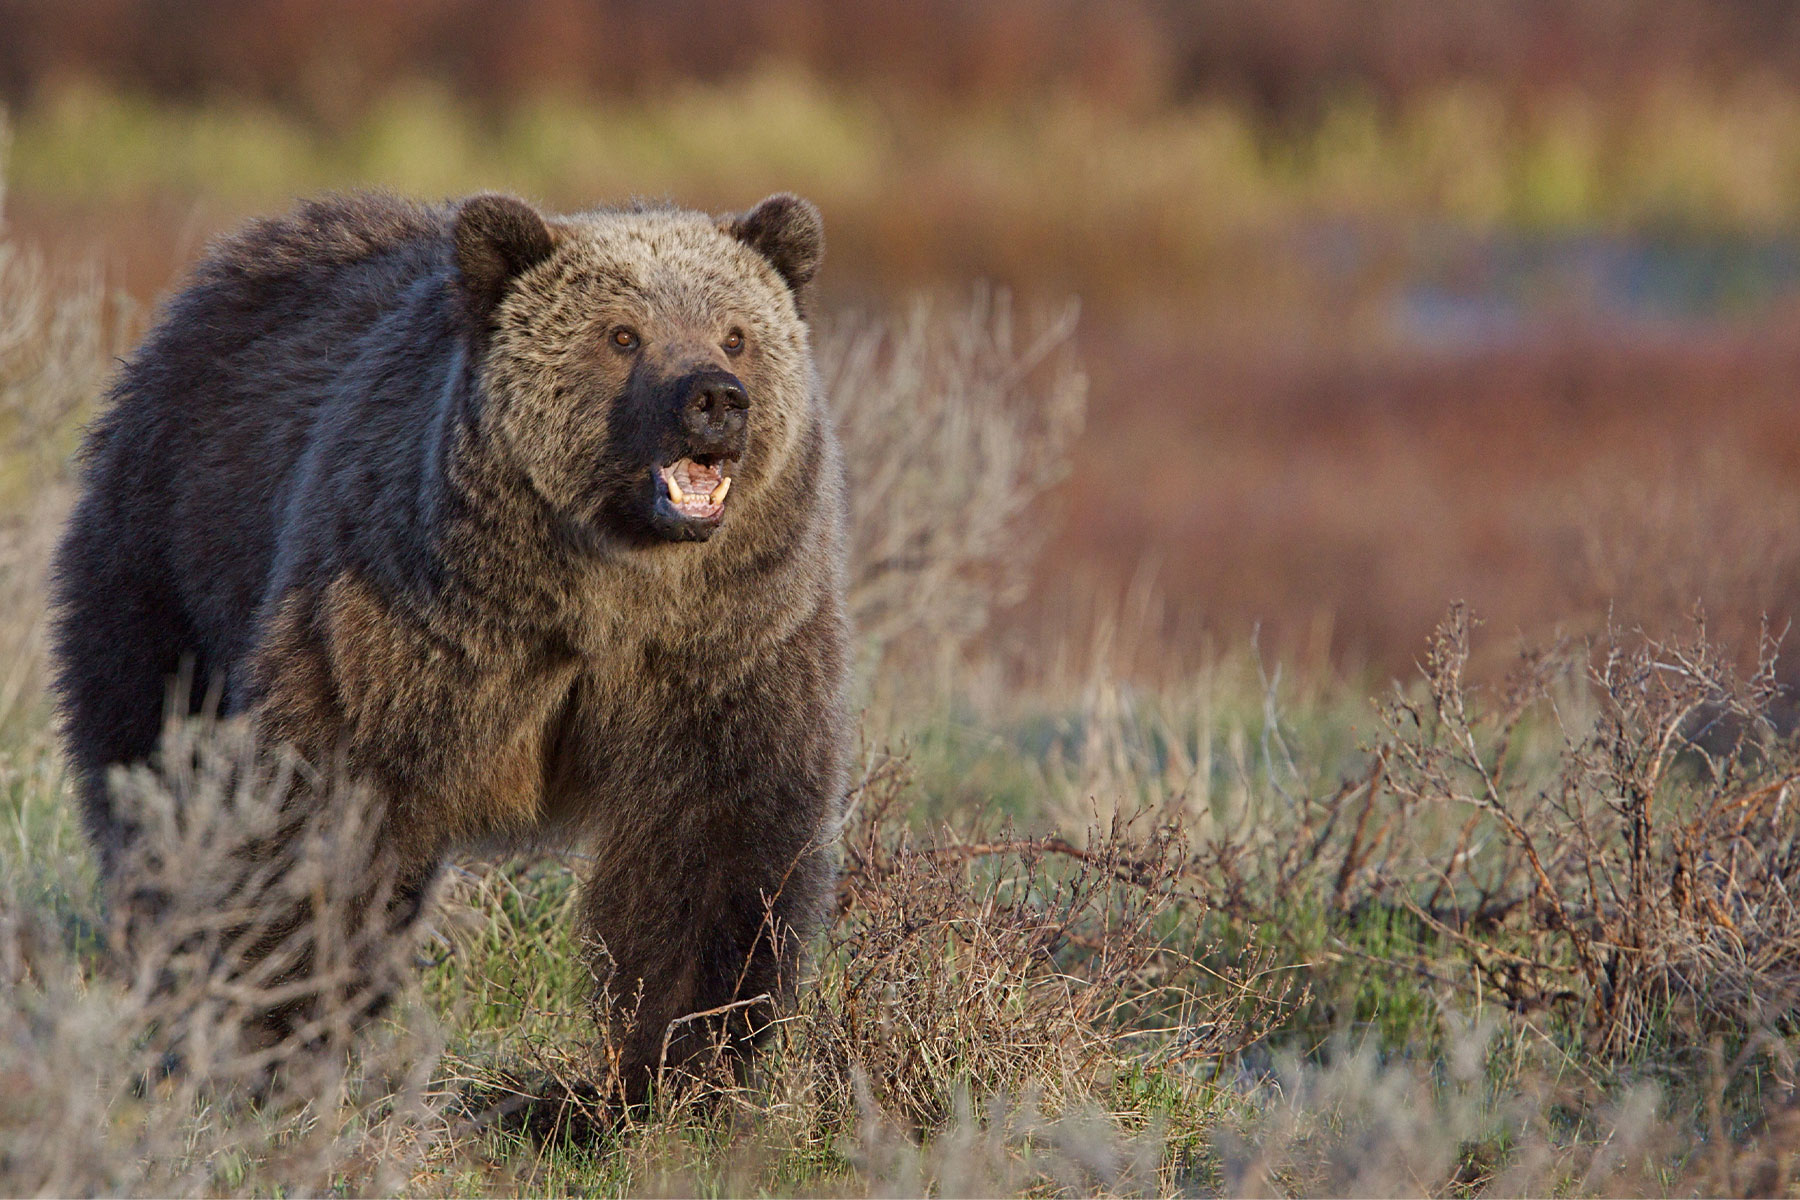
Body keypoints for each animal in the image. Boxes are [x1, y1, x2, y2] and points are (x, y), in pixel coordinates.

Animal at [48, 189, 852, 1104]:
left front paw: (667, 1075)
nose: (716, 397)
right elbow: (324, 812)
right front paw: (274, 1038)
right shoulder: (407, 625)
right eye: (622, 335)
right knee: (154, 768)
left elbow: (715, 850)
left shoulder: (723, 650)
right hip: (170, 565)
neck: (596, 592)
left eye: (736, 333)